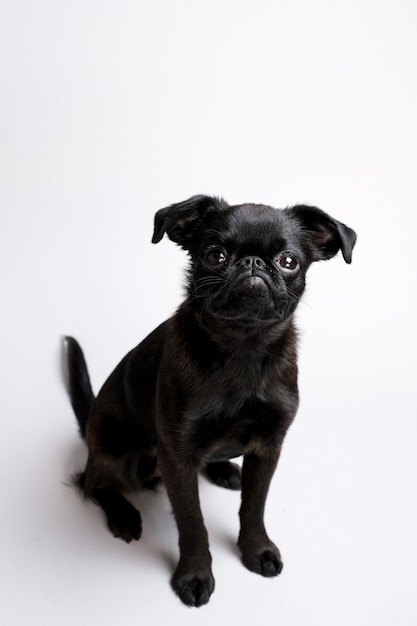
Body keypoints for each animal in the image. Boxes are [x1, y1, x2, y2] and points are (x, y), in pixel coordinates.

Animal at [64, 194, 354, 604]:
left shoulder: (268, 447)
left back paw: (222, 469)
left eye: (288, 261)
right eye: (215, 255)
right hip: (119, 452)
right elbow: (192, 523)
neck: (243, 347)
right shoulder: (177, 456)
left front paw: (256, 549)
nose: (252, 263)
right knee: (93, 483)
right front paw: (194, 575)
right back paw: (123, 514)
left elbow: (254, 506)